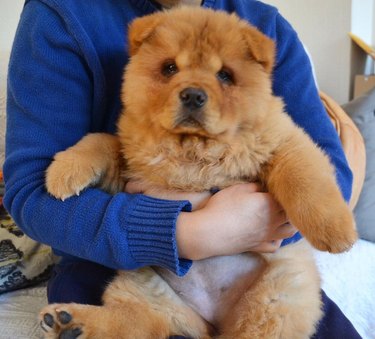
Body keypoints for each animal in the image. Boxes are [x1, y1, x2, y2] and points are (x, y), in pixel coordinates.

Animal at [39, 5, 356, 339]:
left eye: (225, 75)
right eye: (169, 68)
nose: (193, 94)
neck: (191, 148)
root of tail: (211, 324)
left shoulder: (282, 142)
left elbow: (305, 179)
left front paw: (338, 233)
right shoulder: (128, 167)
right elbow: (101, 141)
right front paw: (62, 171)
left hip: (276, 296)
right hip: (142, 284)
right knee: (135, 320)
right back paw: (67, 323)